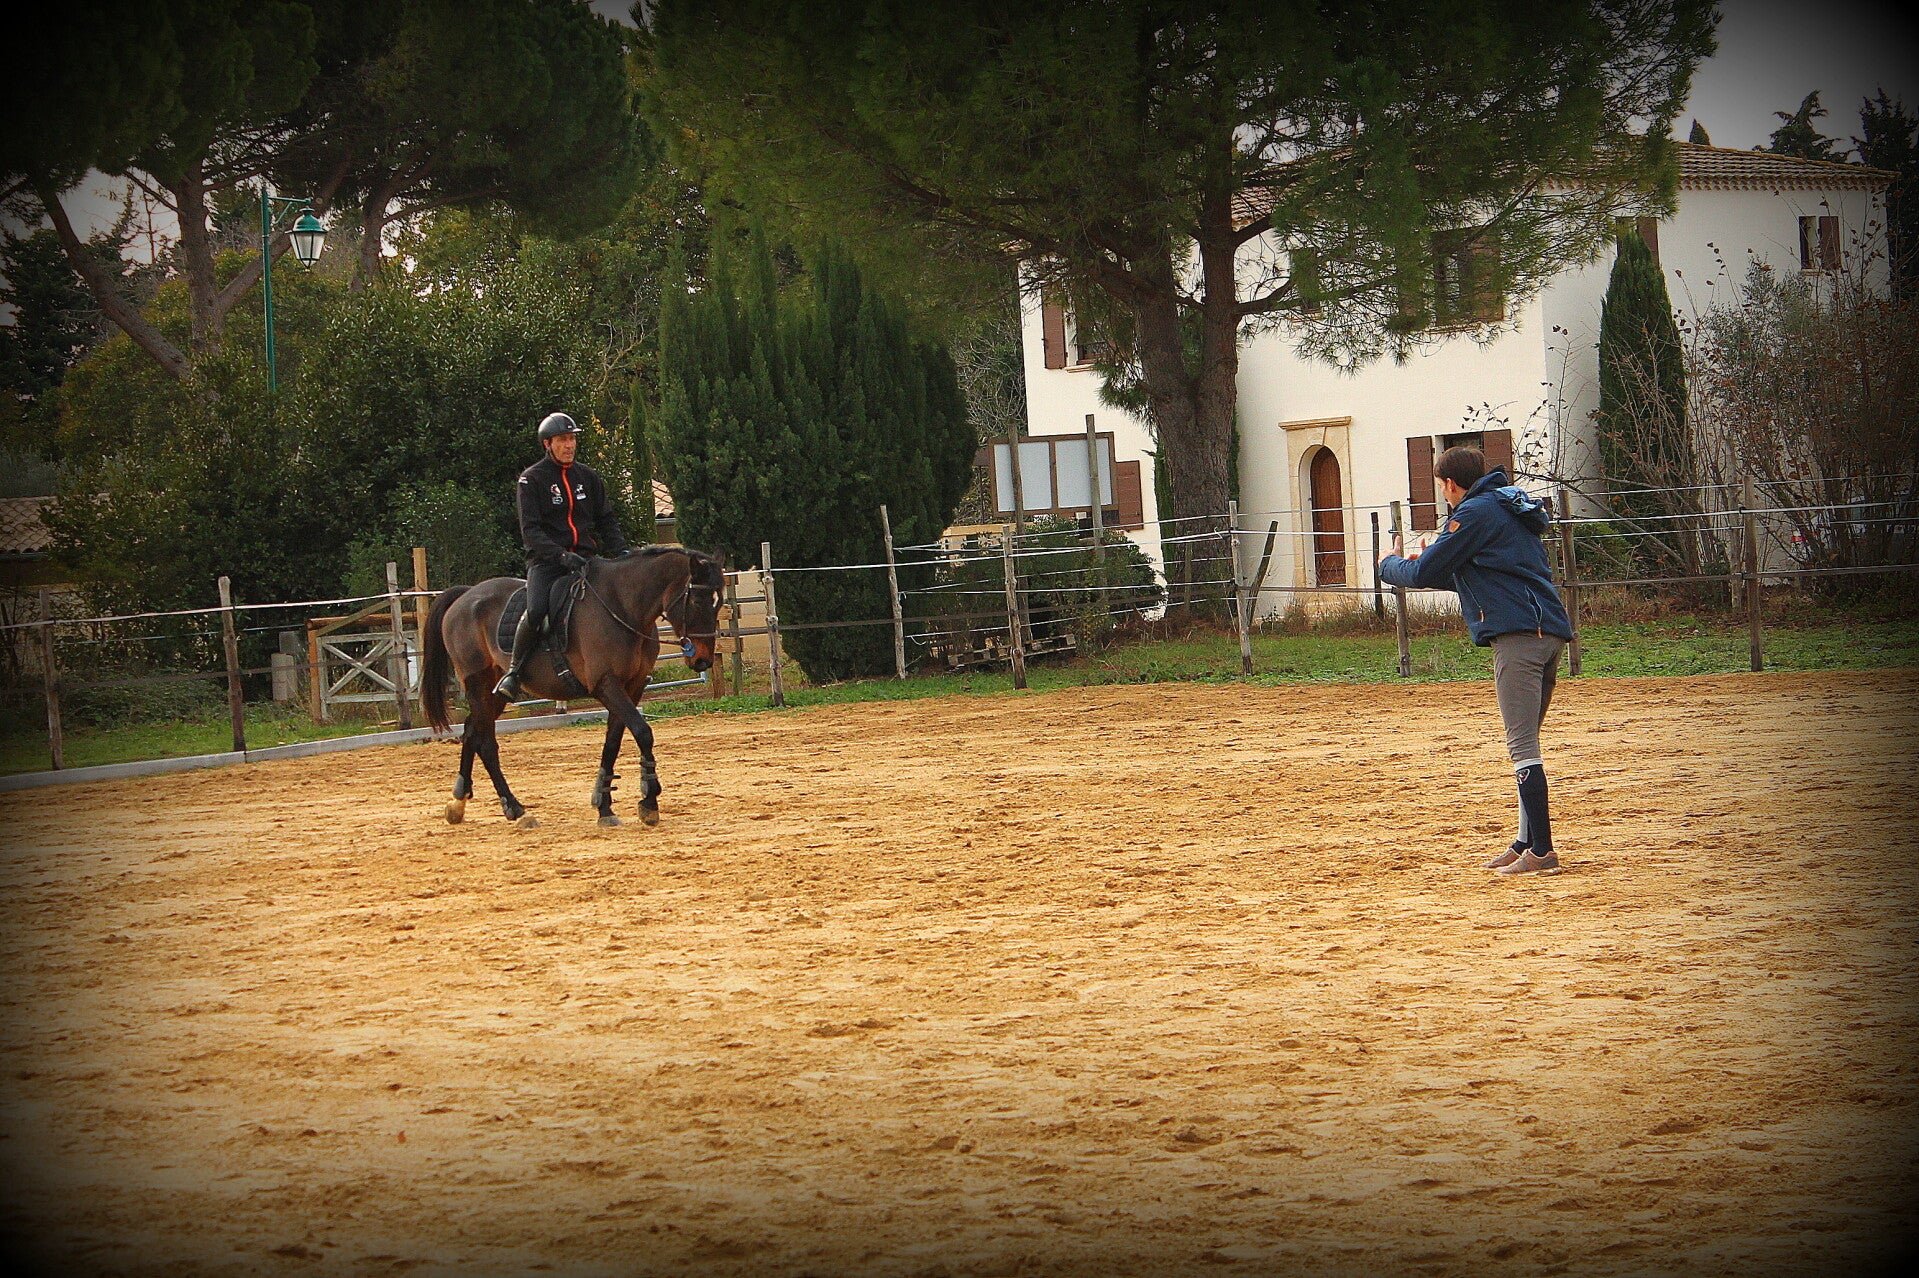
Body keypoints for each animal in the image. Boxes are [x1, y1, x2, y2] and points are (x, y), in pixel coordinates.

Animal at [420, 546, 726, 828]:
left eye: (718, 603)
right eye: (696, 599)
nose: (702, 660)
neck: (620, 607)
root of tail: (466, 595)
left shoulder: (632, 686)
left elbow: (613, 741)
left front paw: (604, 806)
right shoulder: (606, 684)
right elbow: (642, 732)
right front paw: (649, 800)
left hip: (494, 693)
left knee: (472, 730)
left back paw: (458, 802)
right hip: (477, 684)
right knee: (485, 741)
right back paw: (516, 809)